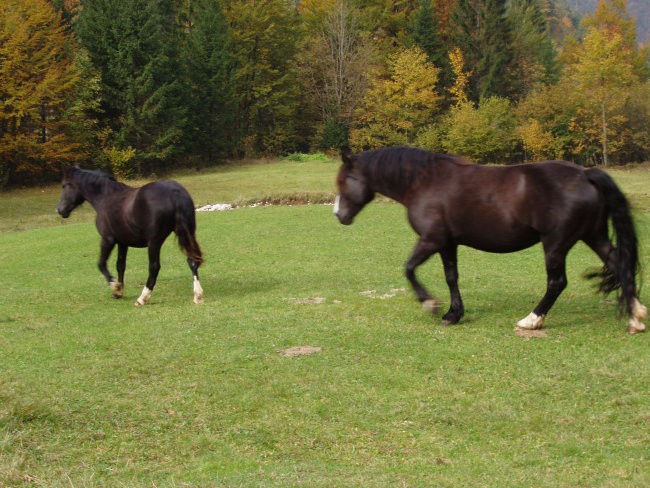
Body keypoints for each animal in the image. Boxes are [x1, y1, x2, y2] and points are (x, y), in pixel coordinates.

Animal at [56, 168, 202, 304]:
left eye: (65, 185)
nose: (60, 209)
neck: (105, 198)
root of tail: (174, 192)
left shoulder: (107, 240)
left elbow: (101, 264)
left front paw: (115, 286)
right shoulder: (123, 242)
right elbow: (120, 265)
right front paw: (118, 292)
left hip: (154, 242)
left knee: (154, 267)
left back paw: (142, 298)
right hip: (188, 234)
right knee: (192, 261)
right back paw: (198, 295)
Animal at [332, 147, 644, 334]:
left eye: (345, 180)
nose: (339, 215)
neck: (425, 182)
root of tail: (585, 173)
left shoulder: (431, 239)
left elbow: (408, 269)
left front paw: (430, 304)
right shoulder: (447, 243)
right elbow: (451, 277)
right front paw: (453, 313)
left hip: (556, 244)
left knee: (557, 282)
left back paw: (532, 319)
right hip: (593, 235)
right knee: (619, 264)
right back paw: (636, 316)